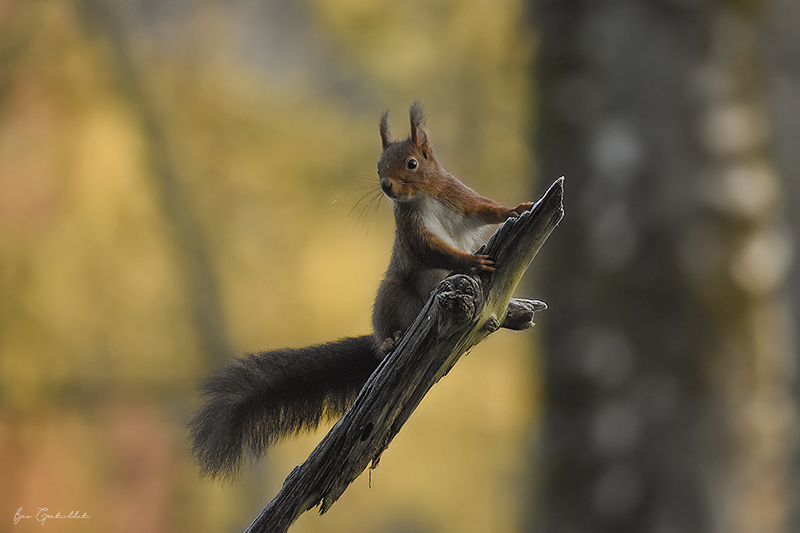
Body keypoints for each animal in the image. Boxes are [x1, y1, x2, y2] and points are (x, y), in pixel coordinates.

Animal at [189, 102, 532, 476]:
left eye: (412, 163)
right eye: (378, 166)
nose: (386, 186)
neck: (423, 198)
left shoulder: (457, 197)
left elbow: (485, 208)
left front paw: (517, 209)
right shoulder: (411, 230)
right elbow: (432, 251)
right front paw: (470, 261)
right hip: (393, 294)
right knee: (386, 331)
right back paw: (391, 340)